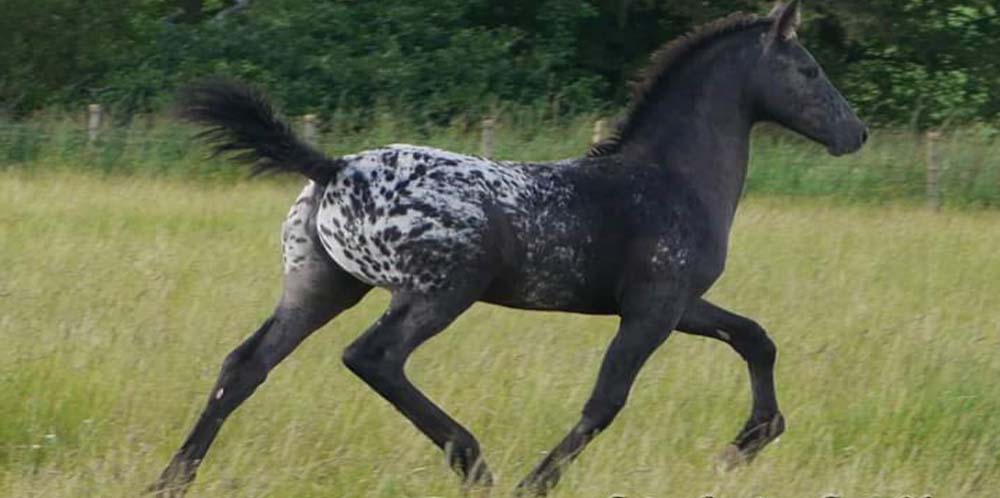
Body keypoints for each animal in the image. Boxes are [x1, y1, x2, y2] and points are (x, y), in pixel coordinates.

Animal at [150, 1, 868, 496]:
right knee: (372, 357)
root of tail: (334, 167)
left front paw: (746, 442)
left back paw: (172, 479)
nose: (855, 133)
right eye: (808, 69)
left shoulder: (681, 304)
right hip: (441, 291)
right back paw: (475, 464)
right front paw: (535, 482)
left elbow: (755, 338)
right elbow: (606, 399)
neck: (670, 177)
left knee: (245, 366)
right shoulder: (653, 309)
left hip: (320, 285)